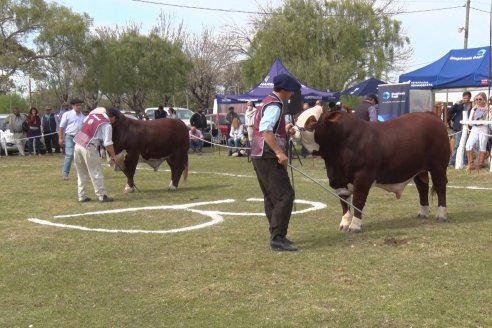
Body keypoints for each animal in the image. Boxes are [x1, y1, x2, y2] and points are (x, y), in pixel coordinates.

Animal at [294, 111, 452, 232]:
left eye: (312, 121)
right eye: (297, 118)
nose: (292, 130)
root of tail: (430, 114)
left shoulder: (363, 177)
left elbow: (358, 201)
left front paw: (355, 226)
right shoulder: (339, 180)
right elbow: (344, 202)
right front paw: (344, 224)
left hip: (438, 165)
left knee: (440, 186)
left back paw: (442, 215)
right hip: (419, 170)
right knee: (422, 187)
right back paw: (423, 213)